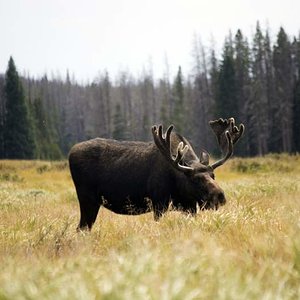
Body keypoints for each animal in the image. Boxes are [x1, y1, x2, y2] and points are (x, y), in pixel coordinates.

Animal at [68, 117, 244, 230]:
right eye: (195, 179)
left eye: (213, 175)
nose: (219, 196)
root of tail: (71, 153)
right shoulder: (159, 203)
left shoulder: (190, 207)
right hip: (87, 199)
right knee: (82, 227)